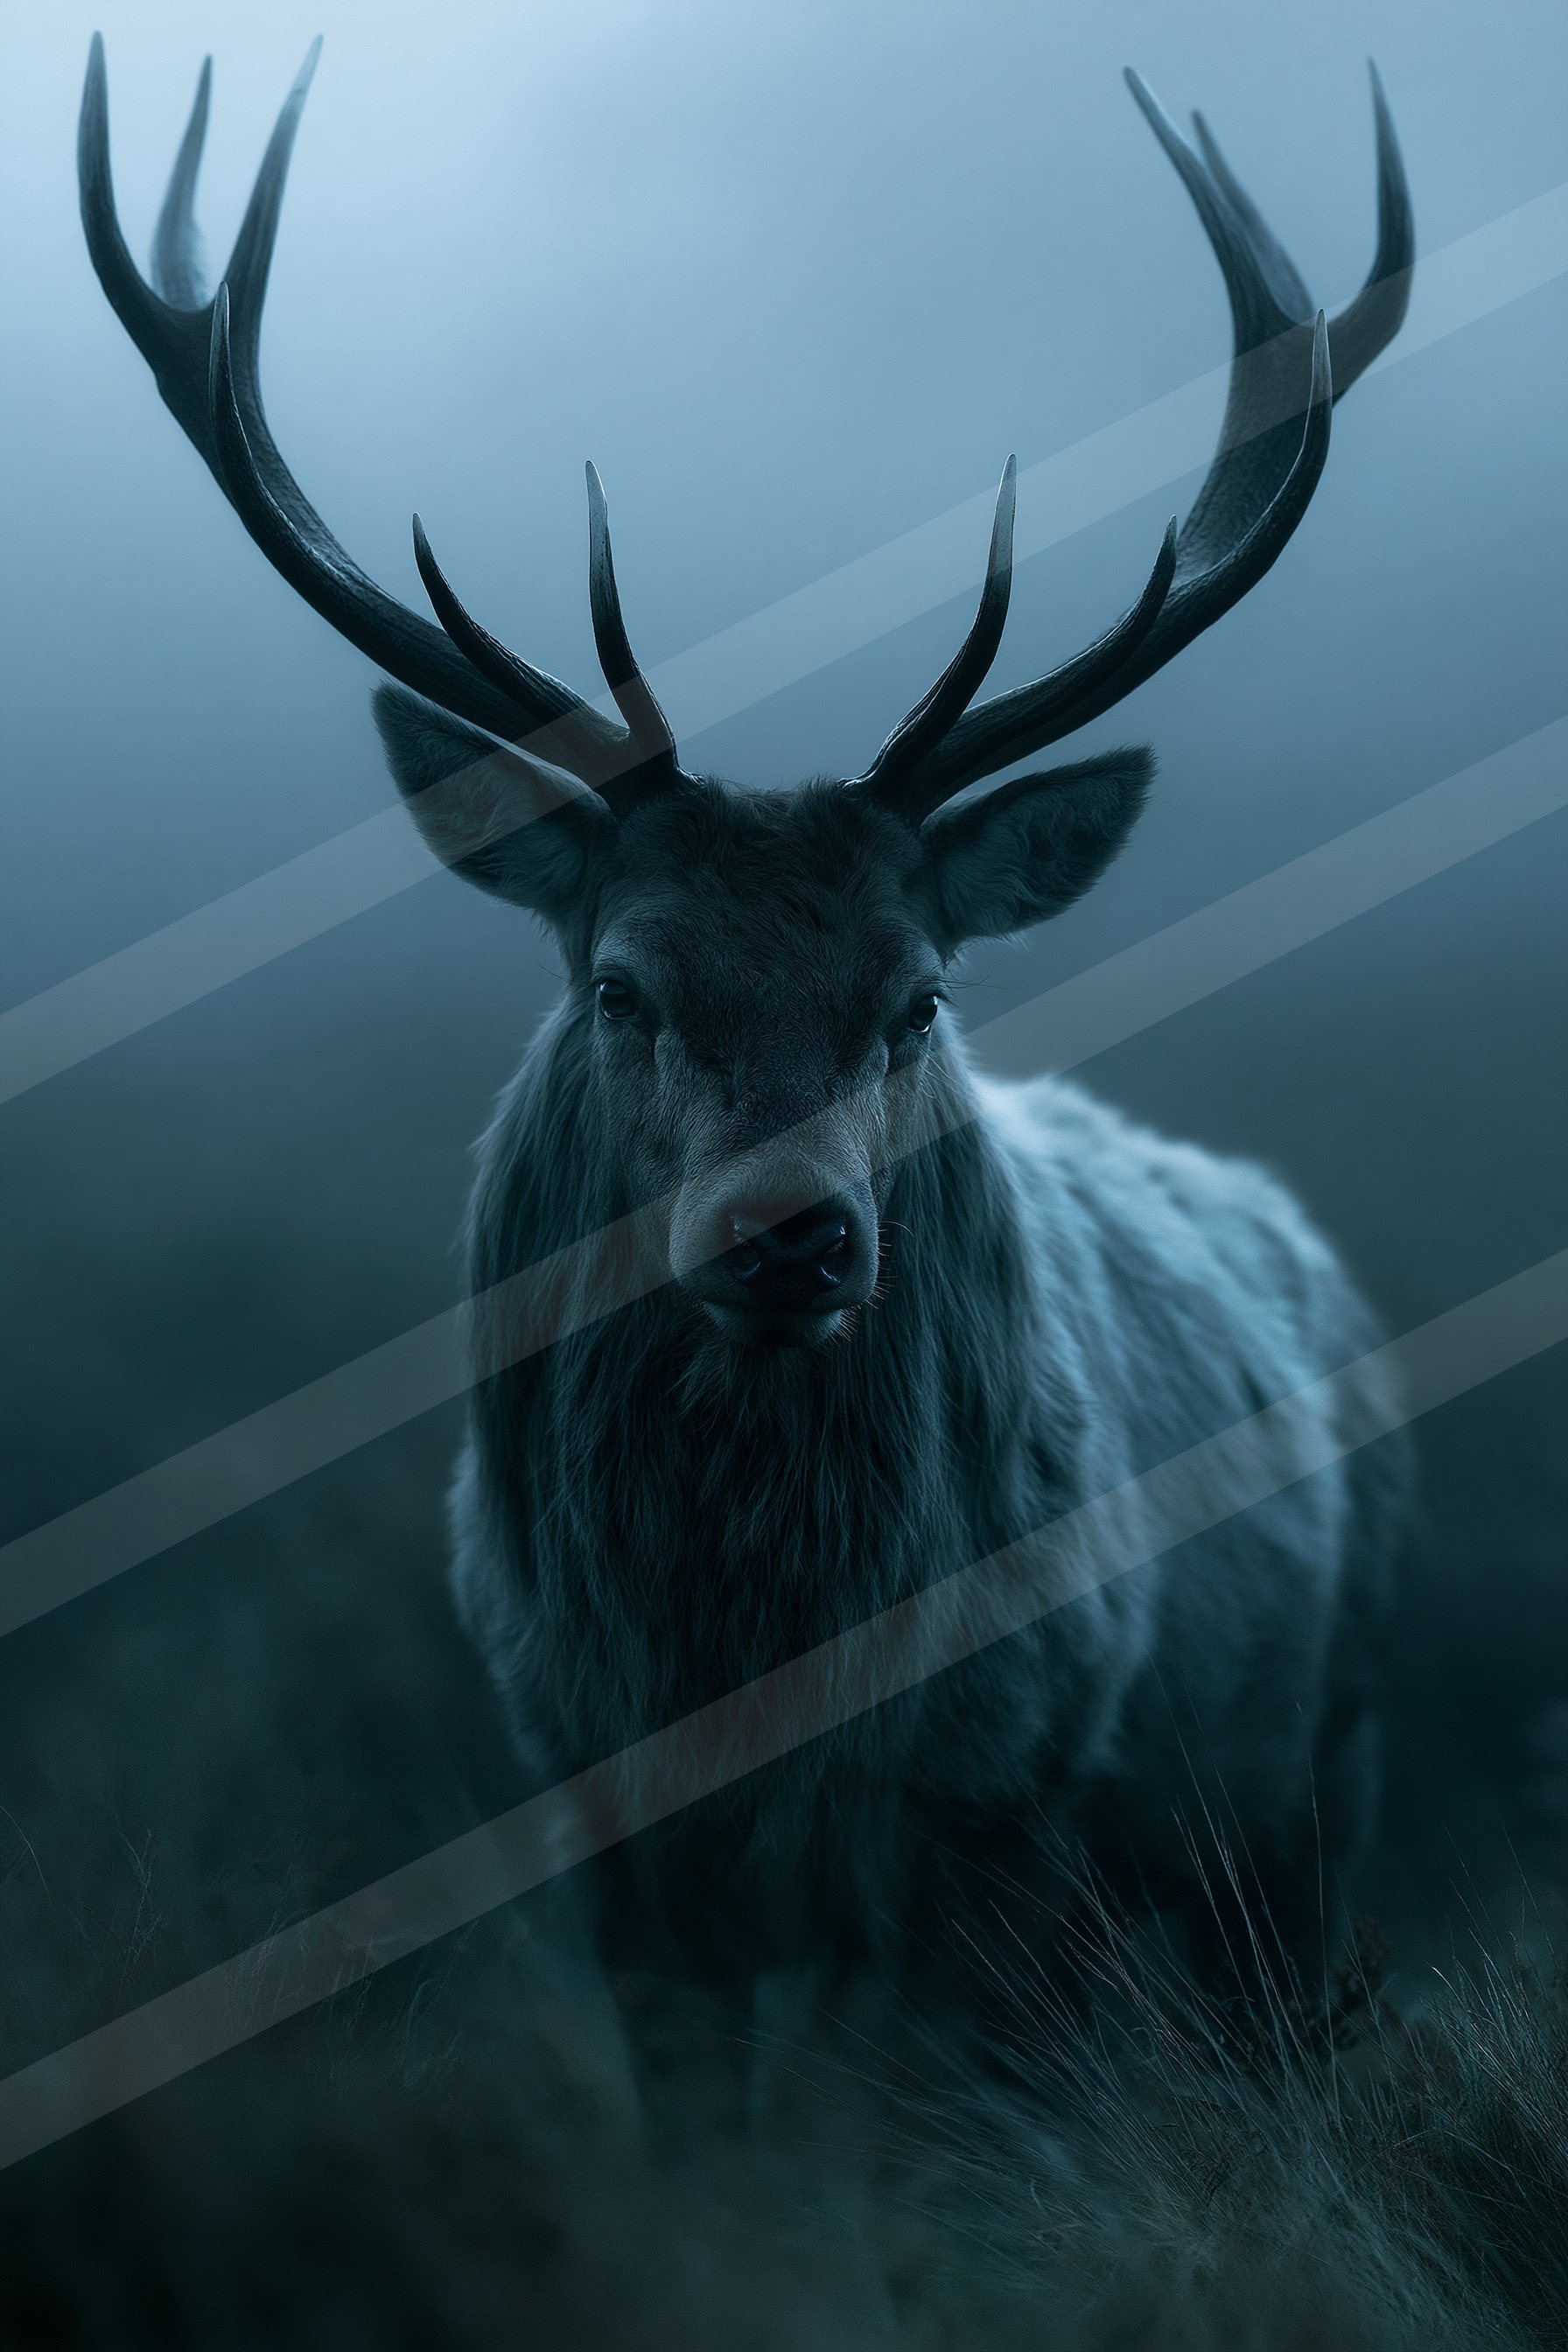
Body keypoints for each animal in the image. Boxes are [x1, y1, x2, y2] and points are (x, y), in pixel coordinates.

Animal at [81, 39, 1415, 2041]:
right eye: (621, 984)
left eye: (917, 996)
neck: (748, 1688)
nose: (793, 1235)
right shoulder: (595, 1818)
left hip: (1312, 1776)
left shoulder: (1010, 1800)